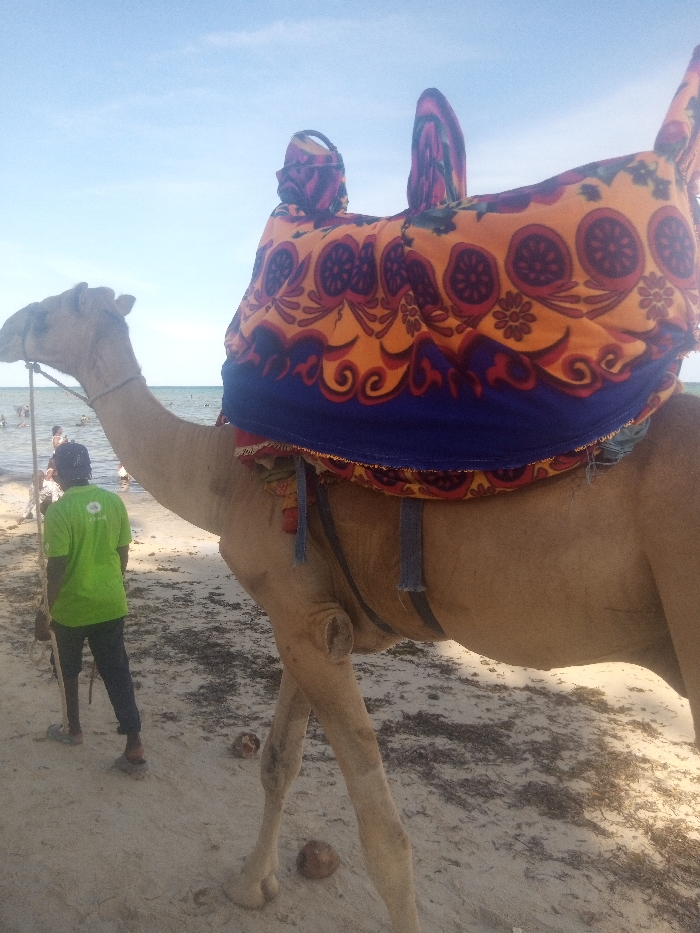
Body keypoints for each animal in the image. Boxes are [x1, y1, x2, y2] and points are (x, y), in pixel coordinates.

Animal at [1, 282, 700, 933]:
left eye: (52, 308)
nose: (9, 326)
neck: (223, 478)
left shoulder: (303, 622)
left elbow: (383, 833)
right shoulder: (307, 619)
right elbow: (278, 762)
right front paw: (252, 887)